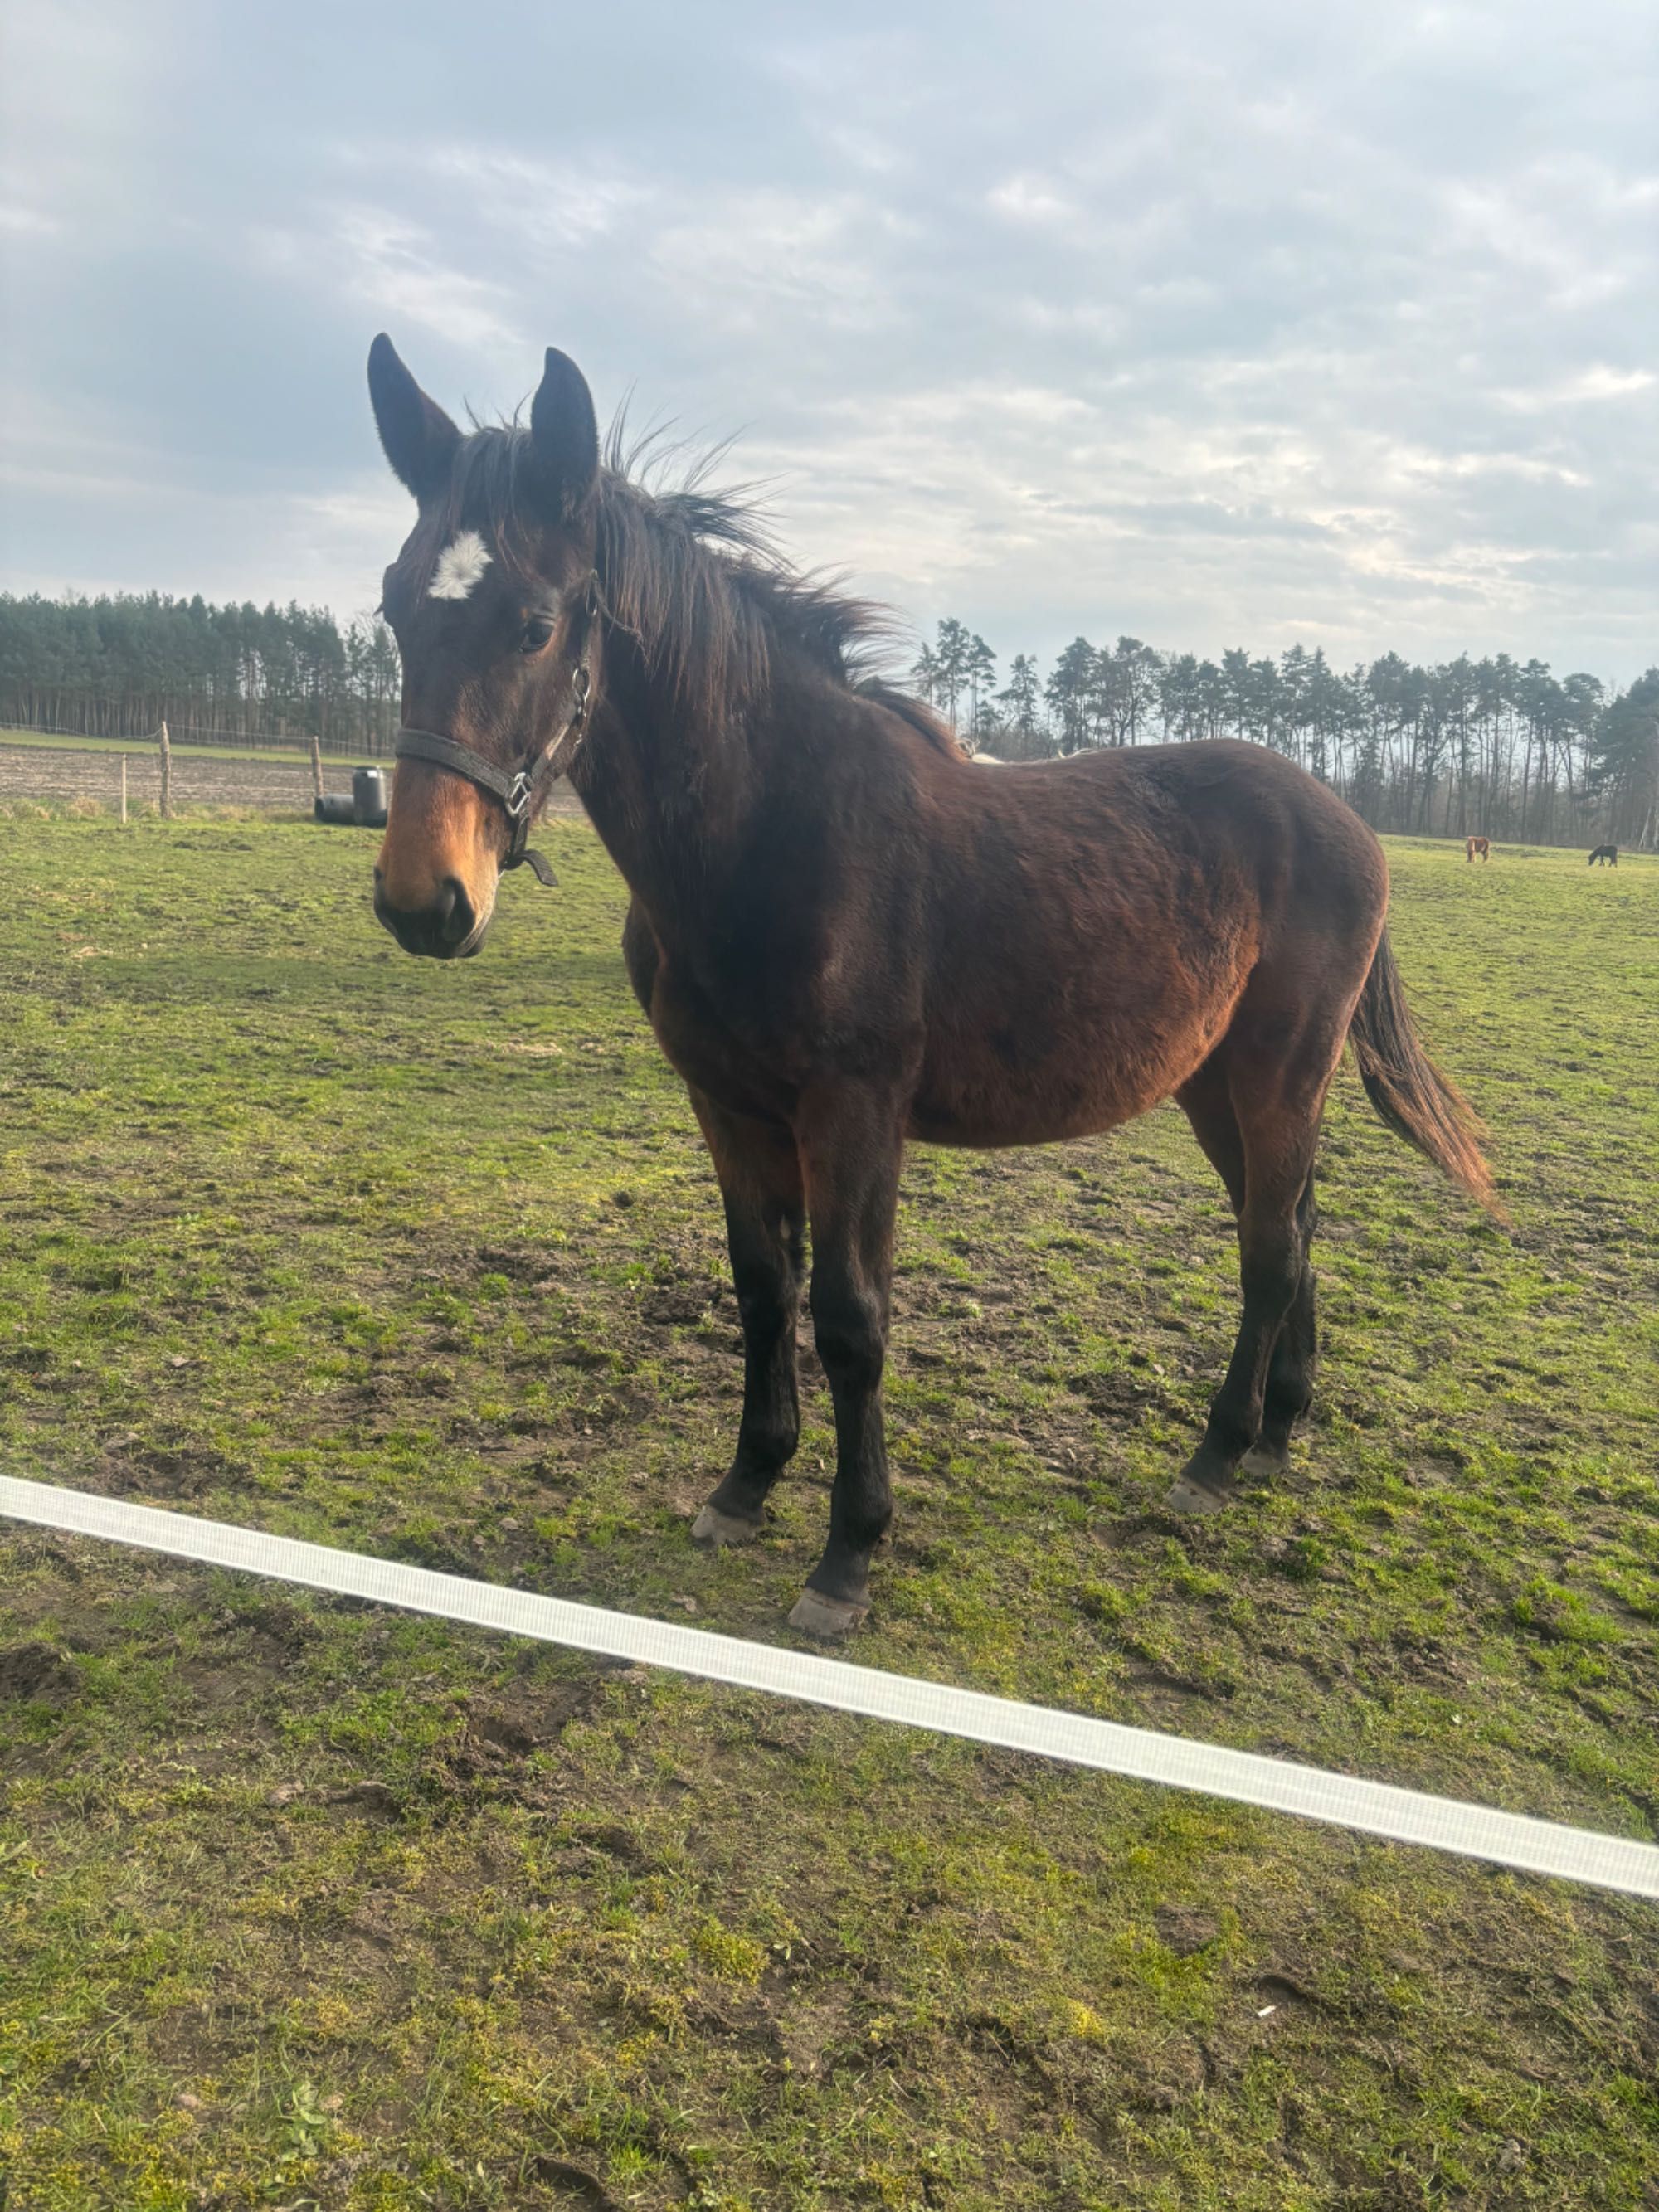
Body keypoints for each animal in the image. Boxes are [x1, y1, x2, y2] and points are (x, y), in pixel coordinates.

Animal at [369, 332, 1504, 1646]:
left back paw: (1214, 1459)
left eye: (535, 623)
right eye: (395, 605)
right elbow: (763, 1289)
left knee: (1272, 1245)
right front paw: (744, 1485)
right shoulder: (728, 1104)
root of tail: (1349, 821)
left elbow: (852, 1318)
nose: (424, 901)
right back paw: (1278, 1432)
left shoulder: (855, 1109)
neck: (774, 830)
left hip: (1282, 1071)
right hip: (1212, 1084)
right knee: (1297, 1227)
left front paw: (847, 1556)